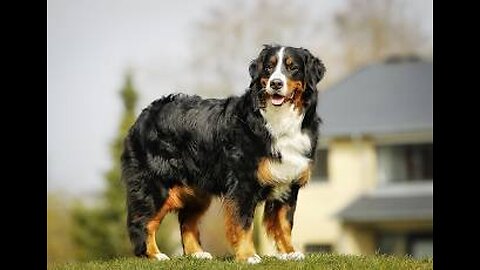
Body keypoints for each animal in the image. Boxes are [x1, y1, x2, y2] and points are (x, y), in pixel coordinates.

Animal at [121, 44, 326, 264]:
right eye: (269, 68)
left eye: (292, 67)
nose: (276, 83)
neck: (278, 121)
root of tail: (146, 113)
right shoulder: (243, 184)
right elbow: (243, 223)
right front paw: (248, 256)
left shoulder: (288, 183)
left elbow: (285, 224)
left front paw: (289, 253)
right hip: (156, 185)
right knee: (143, 222)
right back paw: (154, 254)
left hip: (197, 189)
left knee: (187, 220)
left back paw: (197, 253)